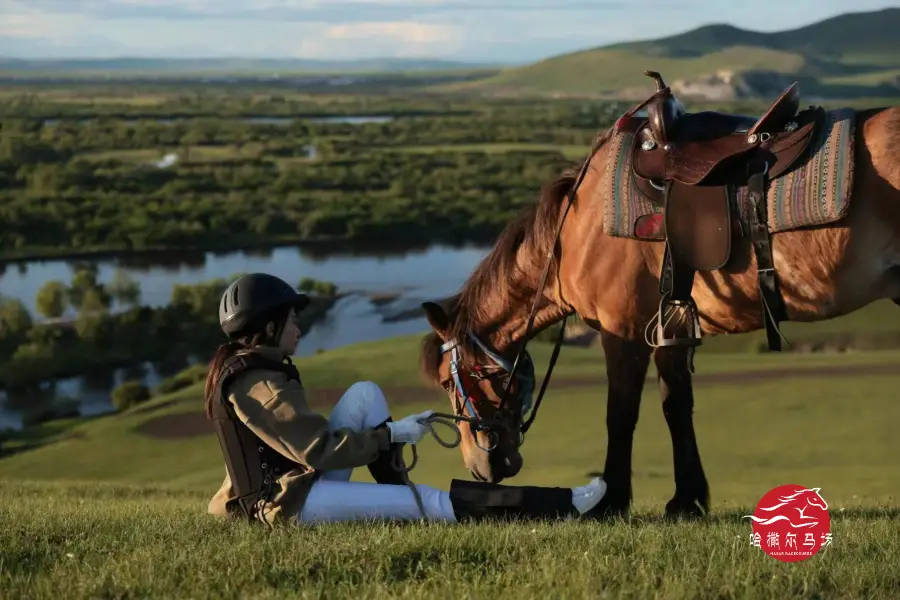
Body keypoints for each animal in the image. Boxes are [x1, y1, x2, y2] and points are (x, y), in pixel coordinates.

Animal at [416, 79, 900, 520]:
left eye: (447, 382)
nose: (481, 467)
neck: (575, 228)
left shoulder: (622, 330)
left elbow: (620, 413)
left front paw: (611, 500)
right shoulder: (673, 324)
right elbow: (675, 405)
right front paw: (687, 499)